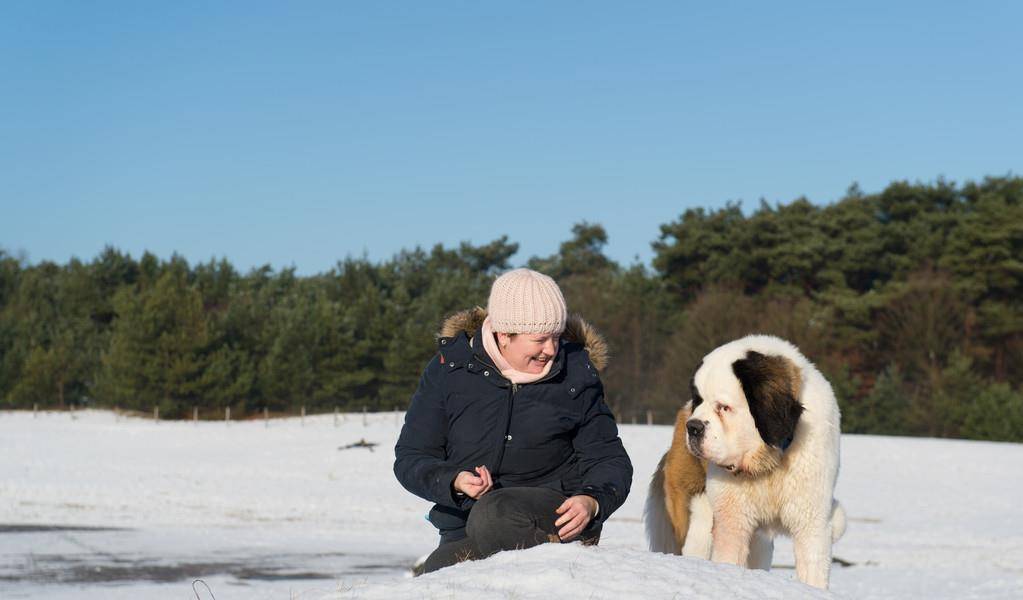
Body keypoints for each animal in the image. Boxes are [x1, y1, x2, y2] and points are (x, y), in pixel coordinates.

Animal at [646, 335, 847, 588]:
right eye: (698, 400)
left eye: (723, 407)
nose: (693, 427)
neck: (770, 460)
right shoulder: (732, 517)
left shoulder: (811, 518)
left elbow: (813, 566)